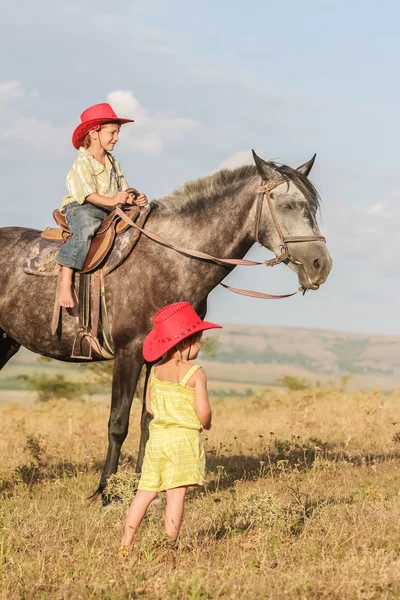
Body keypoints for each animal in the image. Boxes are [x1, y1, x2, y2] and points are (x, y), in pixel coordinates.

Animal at [0, 151, 332, 502]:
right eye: (288, 205)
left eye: (312, 208)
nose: (321, 265)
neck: (169, 260)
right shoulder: (129, 353)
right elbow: (118, 423)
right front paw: (107, 492)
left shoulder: (159, 355)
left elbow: (149, 420)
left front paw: (149, 488)